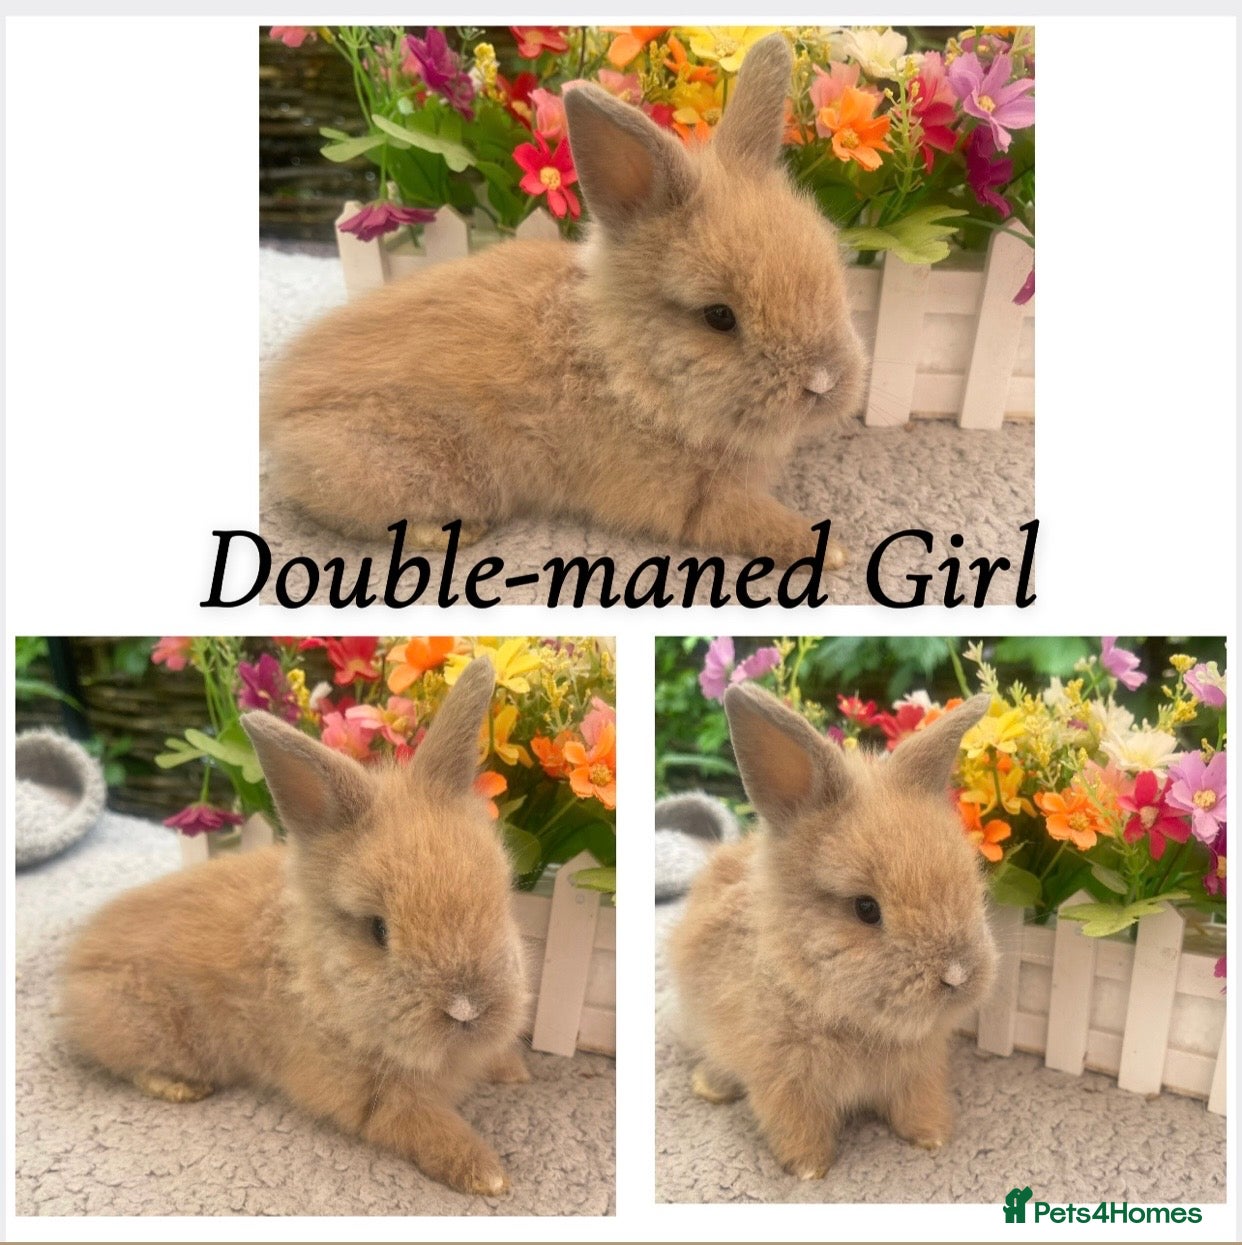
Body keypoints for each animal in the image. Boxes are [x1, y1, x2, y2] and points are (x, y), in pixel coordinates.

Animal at [60, 658, 530, 1196]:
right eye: (378, 930)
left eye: (500, 896)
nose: (468, 1010)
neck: (315, 975)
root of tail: (74, 973)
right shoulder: (366, 1094)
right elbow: (420, 1123)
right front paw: (487, 1175)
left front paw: (514, 1071)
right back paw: (181, 1088)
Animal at [263, 33, 866, 568]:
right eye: (718, 317)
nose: (824, 383)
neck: (622, 365)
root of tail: (276, 421)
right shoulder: (685, 500)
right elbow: (746, 518)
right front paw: (829, 550)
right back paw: (448, 533)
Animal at [667, 687, 998, 1180]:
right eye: (866, 909)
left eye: (969, 881)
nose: (957, 976)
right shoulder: (784, 1082)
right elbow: (797, 1125)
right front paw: (810, 1170)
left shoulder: (917, 1072)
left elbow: (916, 1104)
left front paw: (932, 1138)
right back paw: (709, 1088)